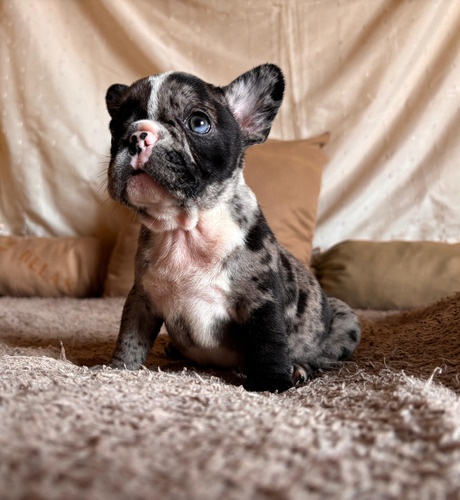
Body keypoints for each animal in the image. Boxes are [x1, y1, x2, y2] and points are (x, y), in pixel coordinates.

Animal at [103, 63, 360, 390]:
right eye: (116, 127)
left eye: (199, 123)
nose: (137, 135)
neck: (184, 230)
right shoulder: (142, 298)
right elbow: (130, 336)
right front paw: (117, 370)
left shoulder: (260, 301)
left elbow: (268, 344)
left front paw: (271, 384)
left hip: (345, 318)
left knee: (322, 356)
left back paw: (299, 368)